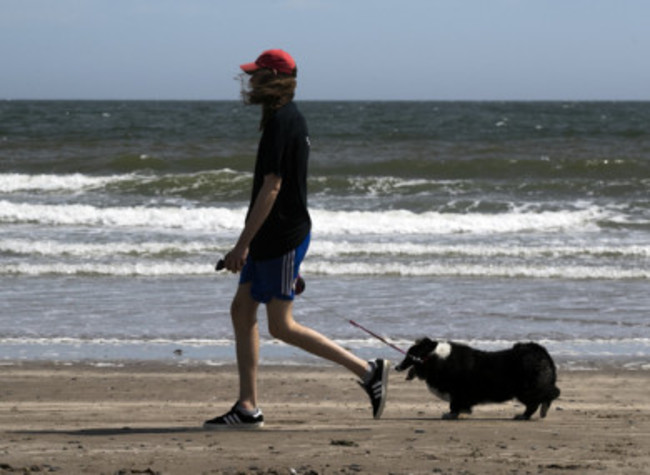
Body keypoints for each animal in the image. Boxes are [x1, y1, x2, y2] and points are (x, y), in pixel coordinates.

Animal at [392, 338, 560, 420]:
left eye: (410, 355)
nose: (396, 367)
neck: (436, 357)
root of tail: (540, 352)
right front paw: (463, 413)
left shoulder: (457, 393)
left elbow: (454, 406)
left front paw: (451, 415)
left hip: (526, 390)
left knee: (538, 401)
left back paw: (524, 416)